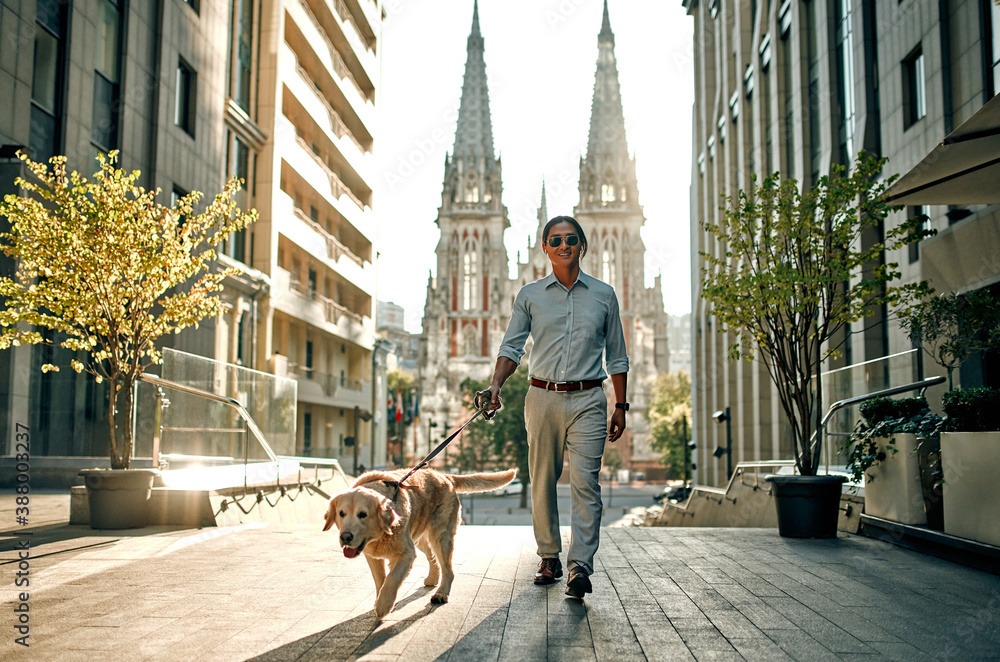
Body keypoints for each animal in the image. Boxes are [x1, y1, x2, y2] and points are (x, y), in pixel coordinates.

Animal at [324, 470, 516, 620]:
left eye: (362, 514)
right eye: (341, 513)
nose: (345, 537)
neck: (380, 535)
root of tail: (444, 475)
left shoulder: (406, 553)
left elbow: (392, 578)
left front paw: (383, 606)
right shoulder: (372, 556)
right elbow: (380, 580)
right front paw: (380, 600)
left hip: (440, 536)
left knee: (448, 568)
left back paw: (442, 593)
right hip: (420, 537)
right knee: (433, 559)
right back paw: (432, 579)